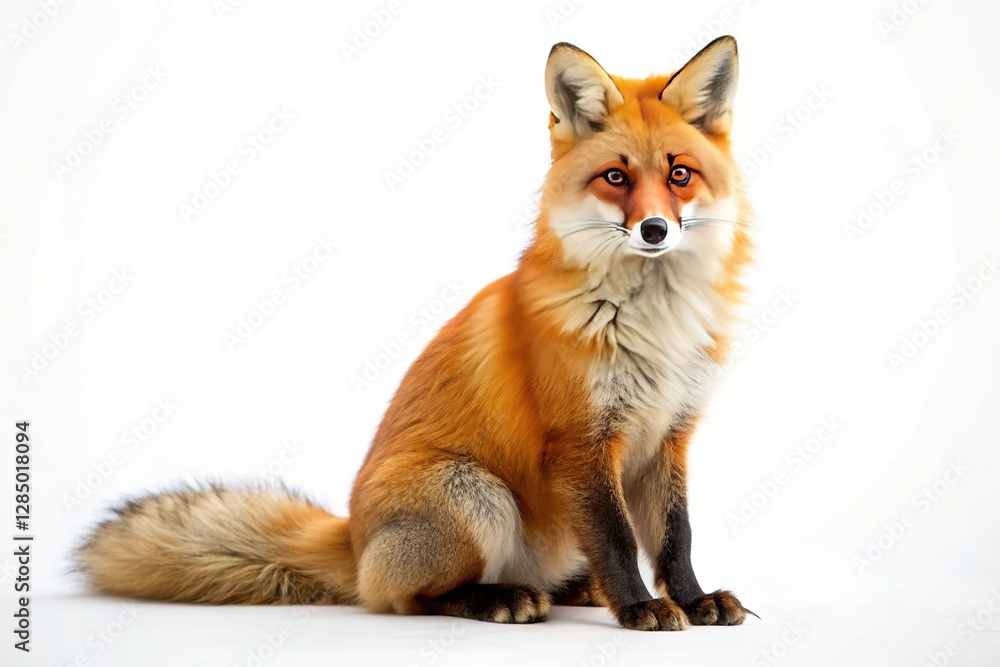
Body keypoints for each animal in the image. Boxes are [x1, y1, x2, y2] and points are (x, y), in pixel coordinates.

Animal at [78, 36, 754, 631]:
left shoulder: (668, 435)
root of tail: (352, 538)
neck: (652, 326)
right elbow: (617, 541)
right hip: (474, 494)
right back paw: (499, 598)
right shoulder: (581, 442)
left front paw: (693, 600)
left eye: (680, 175)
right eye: (616, 178)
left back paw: (574, 588)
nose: (655, 230)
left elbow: (674, 538)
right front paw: (640, 608)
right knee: (406, 599)